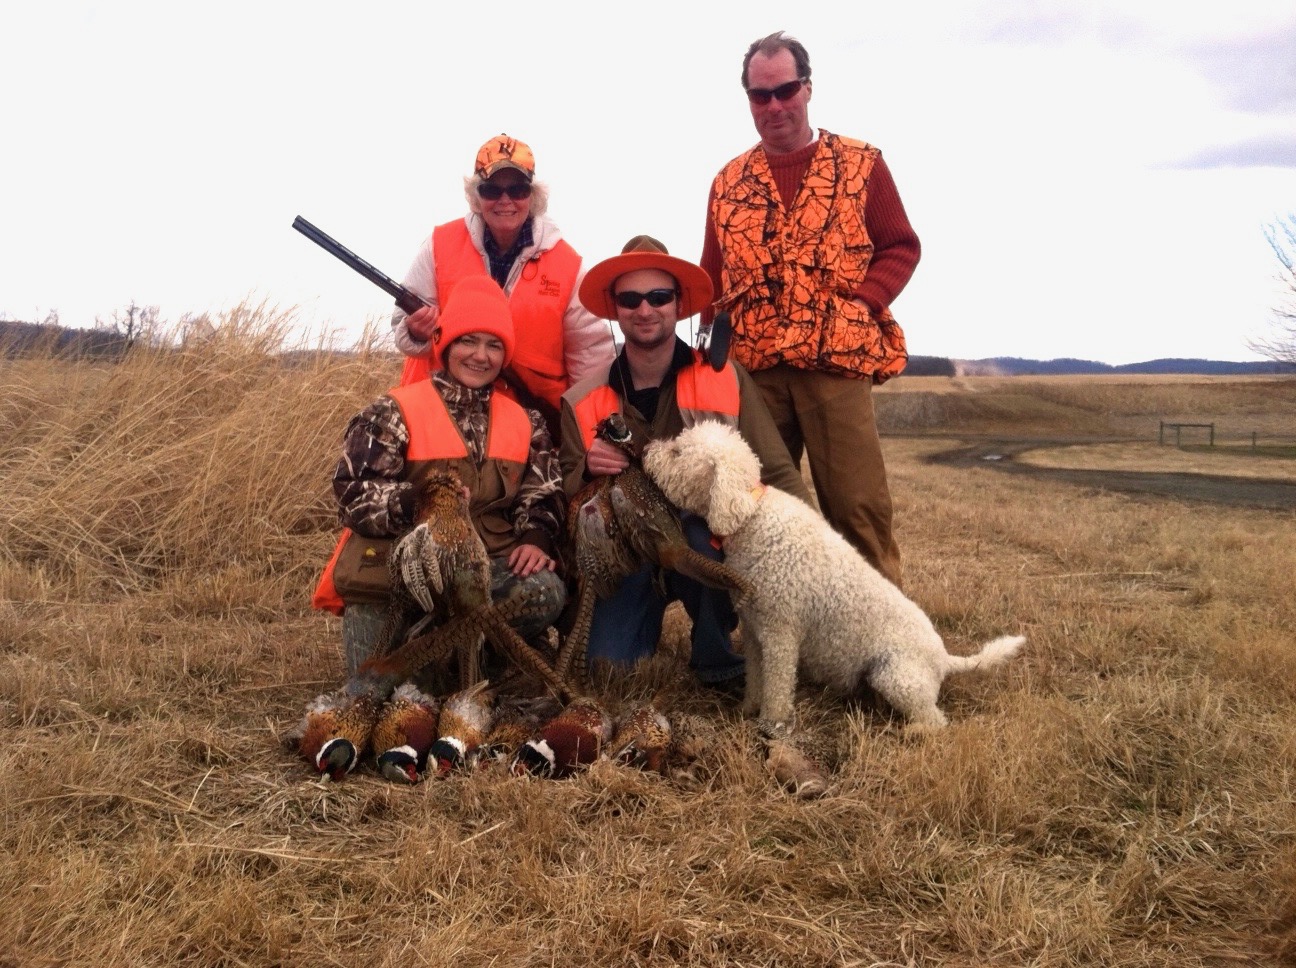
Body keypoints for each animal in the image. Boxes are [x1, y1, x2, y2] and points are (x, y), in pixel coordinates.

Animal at [642, 425, 1026, 736]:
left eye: (678, 451)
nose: (646, 449)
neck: (751, 517)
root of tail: (945, 659)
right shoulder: (754, 632)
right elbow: (755, 678)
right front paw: (747, 709)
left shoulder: (781, 634)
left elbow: (777, 688)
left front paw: (772, 724)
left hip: (896, 675)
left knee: (936, 720)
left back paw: (913, 732)